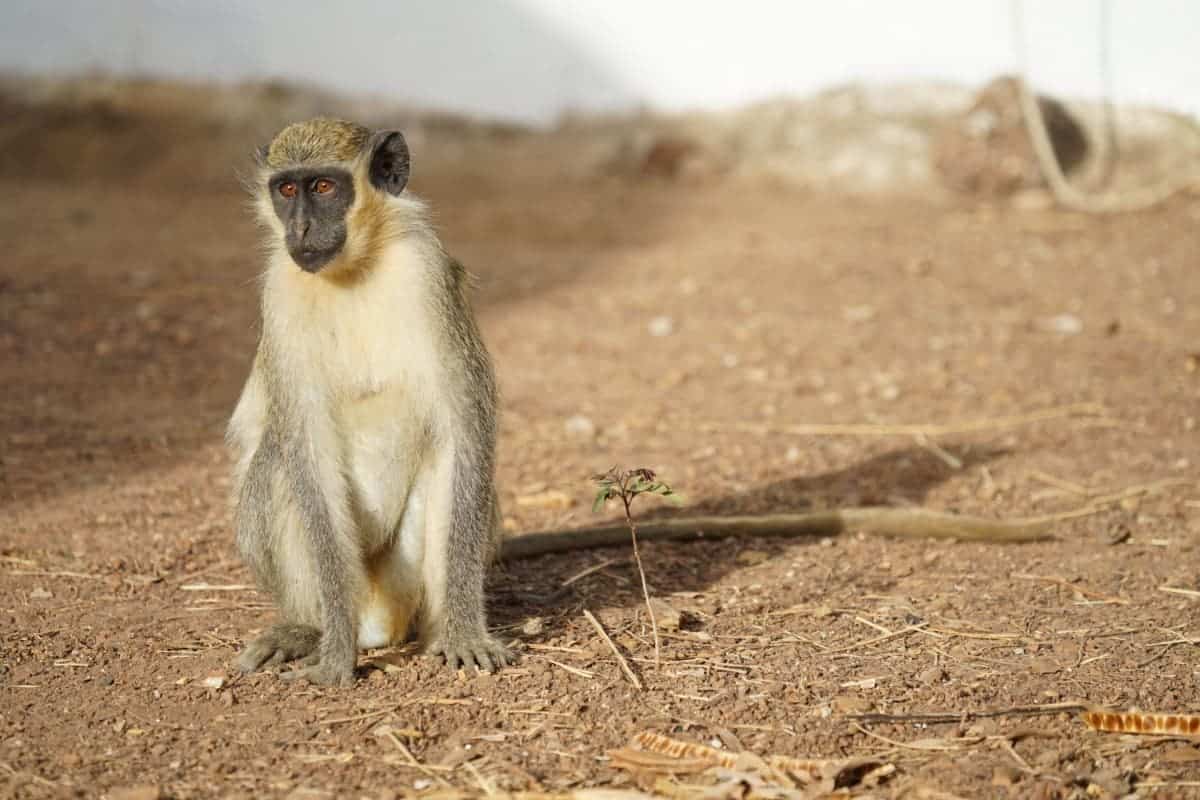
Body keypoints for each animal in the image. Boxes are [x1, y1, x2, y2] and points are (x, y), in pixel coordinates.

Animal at [229, 117, 1052, 687]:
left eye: (326, 187)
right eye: (286, 188)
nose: (302, 227)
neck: (356, 269)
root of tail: (385, 612)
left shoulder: (427, 271)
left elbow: (465, 427)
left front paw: (465, 633)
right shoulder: (277, 288)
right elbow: (302, 444)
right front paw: (332, 650)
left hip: (403, 574)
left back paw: (434, 627)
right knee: (275, 468)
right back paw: (306, 629)